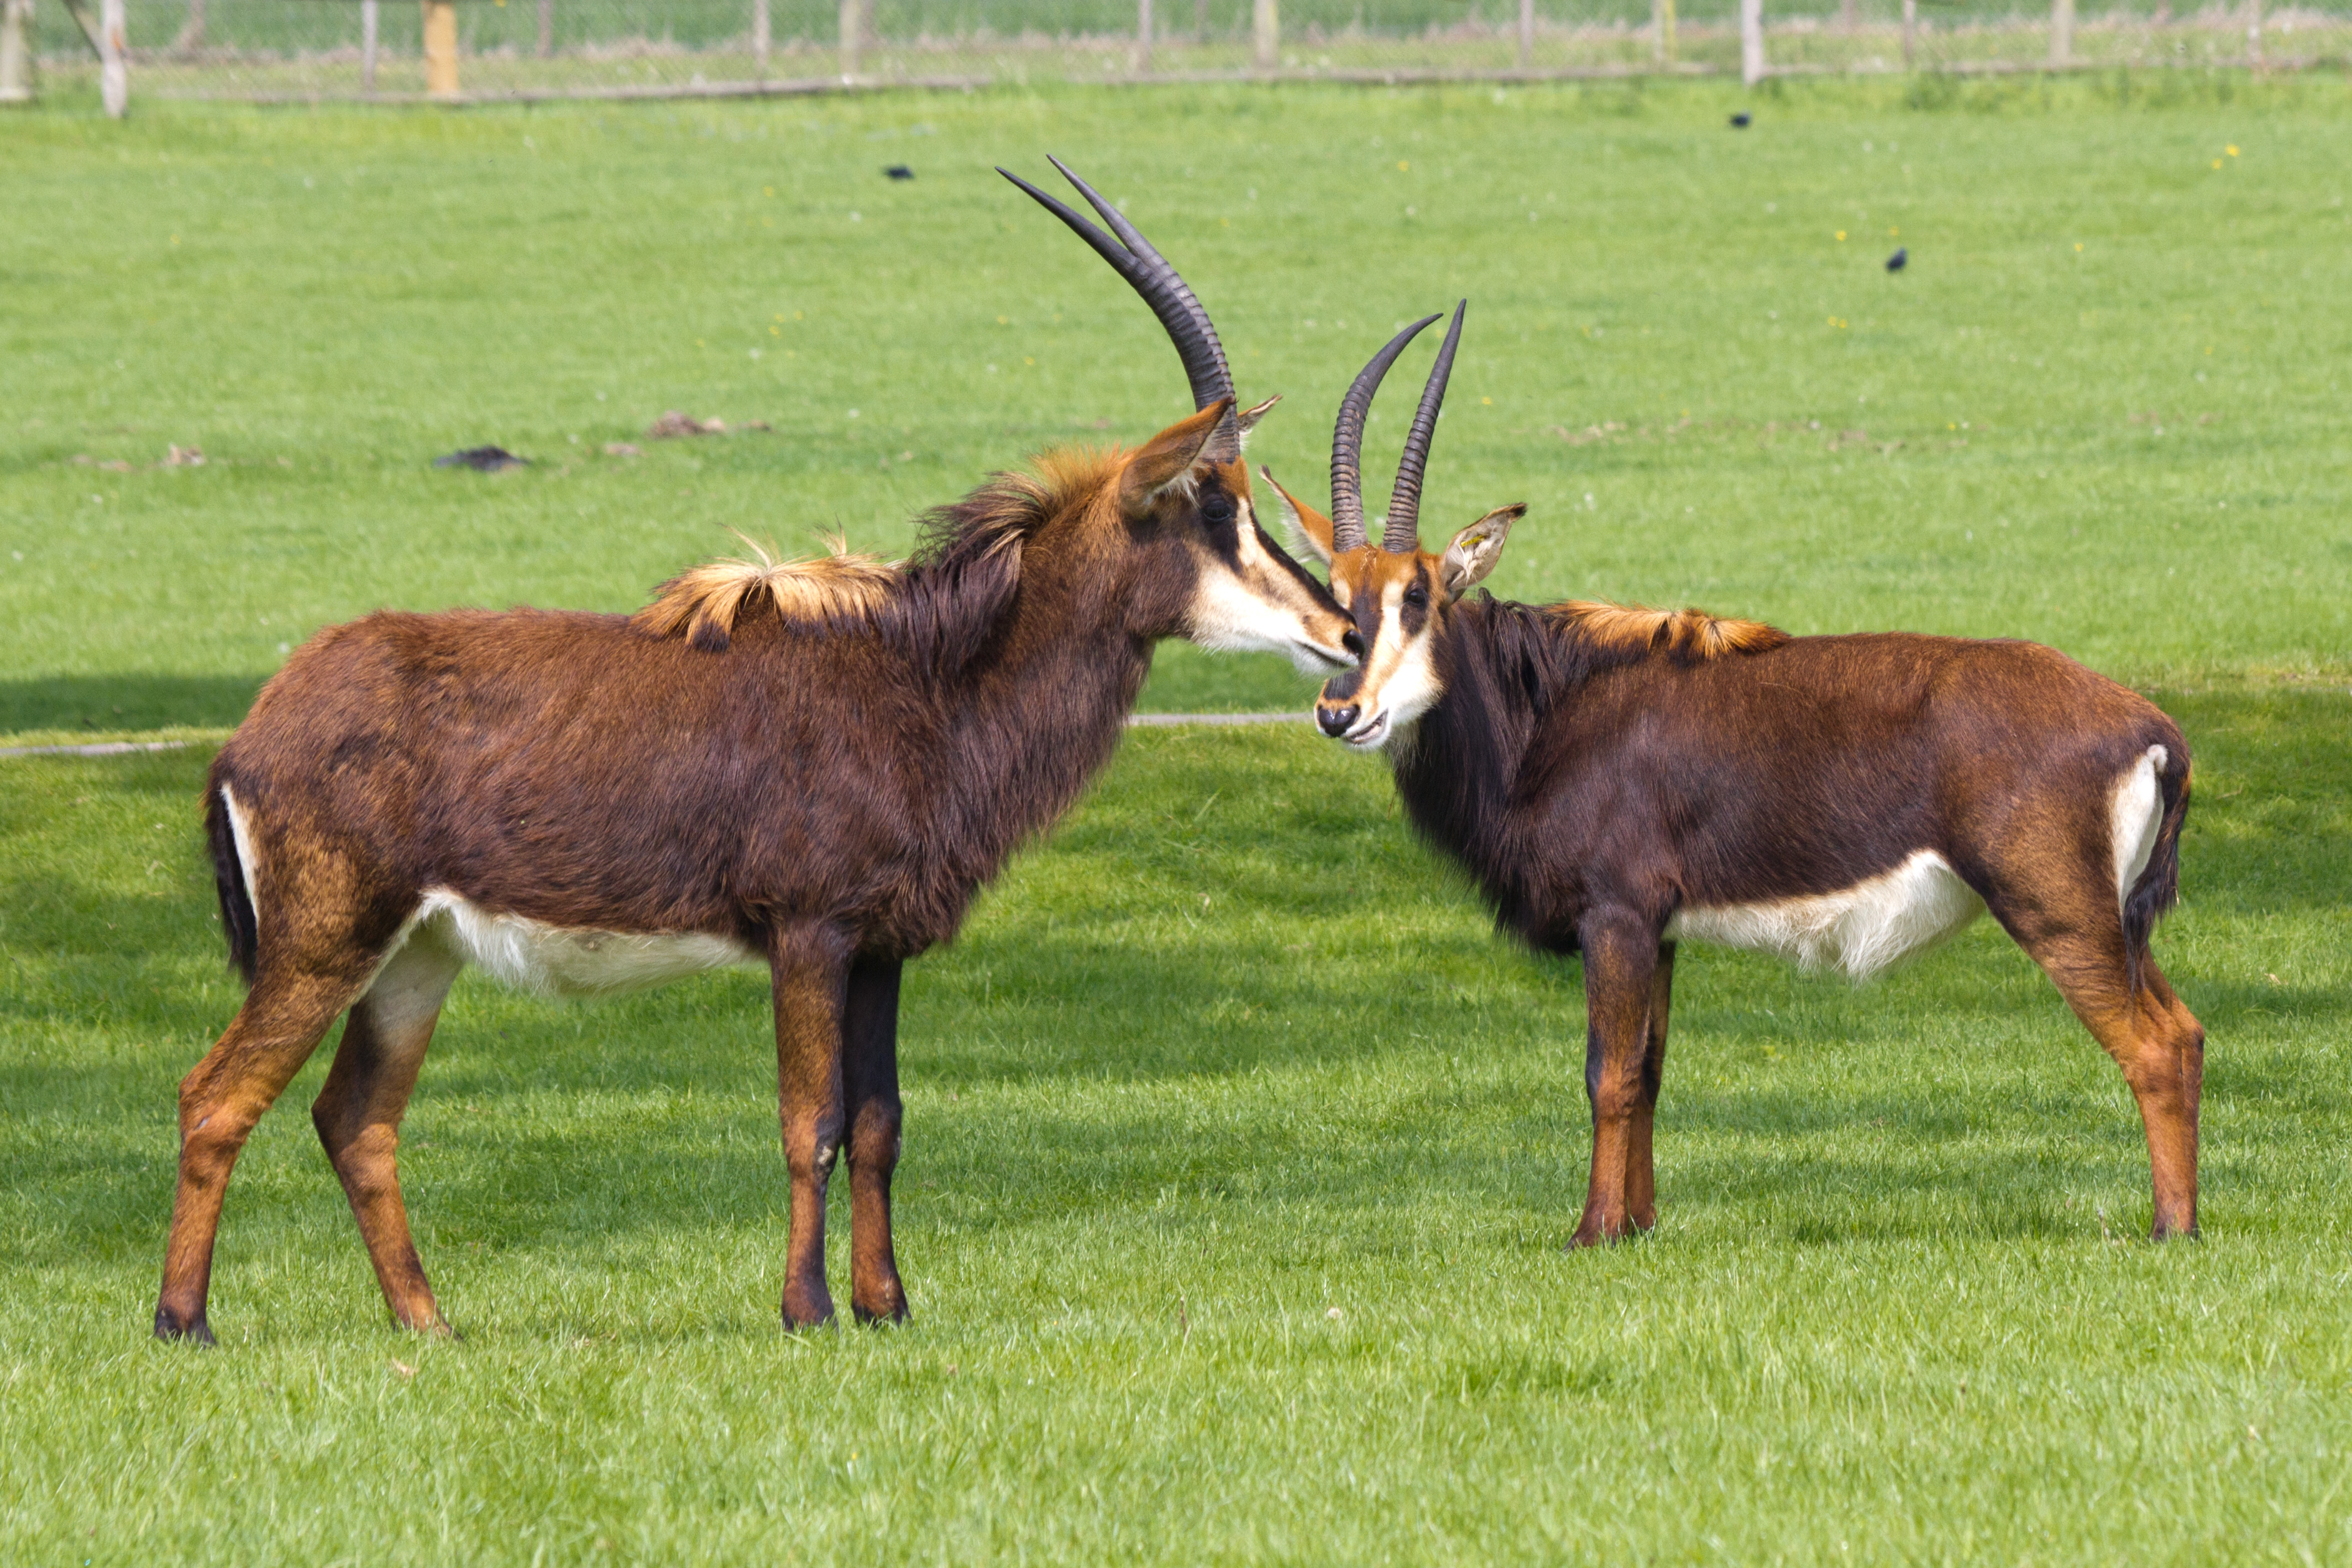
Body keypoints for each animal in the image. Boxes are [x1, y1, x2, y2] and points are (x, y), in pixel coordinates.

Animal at [151, 162, 1364, 1354]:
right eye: (1212, 507)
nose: (1347, 631)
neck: (931, 677)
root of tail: (257, 729)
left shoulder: (882, 947)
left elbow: (880, 1121)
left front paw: (887, 1304)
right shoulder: (808, 931)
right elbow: (809, 1120)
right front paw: (808, 1307)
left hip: (415, 955)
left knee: (355, 1118)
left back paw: (429, 1323)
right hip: (325, 943)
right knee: (215, 1095)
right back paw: (184, 1321)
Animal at [1270, 305, 2201, 1250]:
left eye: (1419, 594)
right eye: (1332, 591)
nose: (1342, 712)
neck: (1547, 709)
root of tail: (2150, 728)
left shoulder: (1615, 915)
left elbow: (1606, 1073)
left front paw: (1591, 1233)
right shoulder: (1659, 932)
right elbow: (1648, 1068)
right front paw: (1638, 1223)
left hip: (2057, 915)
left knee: (2152, 1048)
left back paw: (2171, 1229)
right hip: (2114, 926)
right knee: (2186, 1031)